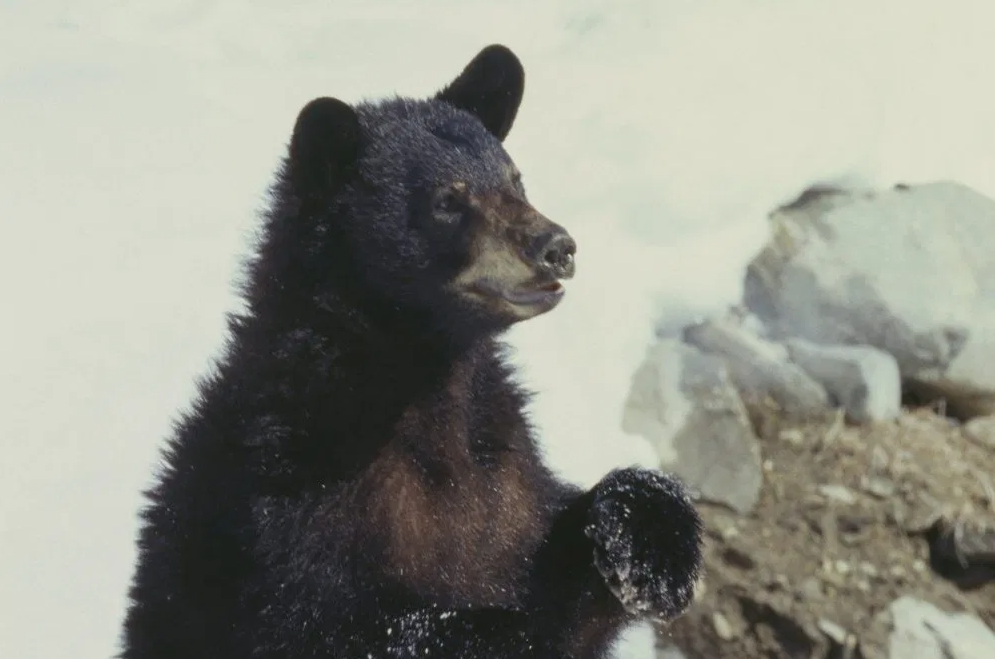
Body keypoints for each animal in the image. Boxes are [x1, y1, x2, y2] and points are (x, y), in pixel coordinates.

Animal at [116, 43, 704, 656]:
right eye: (447, 200)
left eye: (516, 179)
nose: (556, 247)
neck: (424, 381)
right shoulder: (288, 491)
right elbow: (342, 624)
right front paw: (502, 629)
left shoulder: (508, 476)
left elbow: (561, 556)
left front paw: (653, 552)